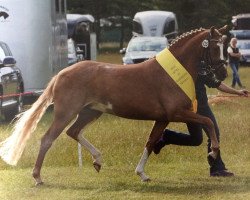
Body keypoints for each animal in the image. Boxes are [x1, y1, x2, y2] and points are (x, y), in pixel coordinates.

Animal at [0, 26, 228, 184]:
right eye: (214, 47)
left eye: (224, 47)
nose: (223, 73)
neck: (171, 74)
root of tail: (60, 74)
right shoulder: (177, 113)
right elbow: (208, 121)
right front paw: (213, 151)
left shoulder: (163, 118)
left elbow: (151, 141)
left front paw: (142, 174)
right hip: (66, 113)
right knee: (47, 139)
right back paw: (38, 177)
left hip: (90, 113)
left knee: (73, 132)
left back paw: (97, 160)